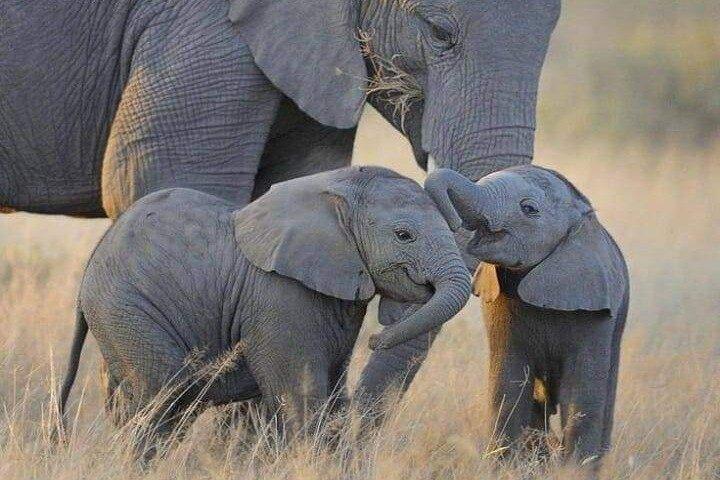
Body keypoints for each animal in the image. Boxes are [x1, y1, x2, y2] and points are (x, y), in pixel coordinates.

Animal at [57, 166, 472, 458]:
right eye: (404, 235)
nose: (376, 338)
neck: (335, 188)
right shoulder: (280, 298)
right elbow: (302, 394)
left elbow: (334, 397)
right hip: (127, 309)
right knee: (165, 397)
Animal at [425, 167, 629, 466]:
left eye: (529, 209)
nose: (451, 223)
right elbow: (508, 384)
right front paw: (504, 466)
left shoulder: (595, 309)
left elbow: (580, 394)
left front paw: (574, 469)